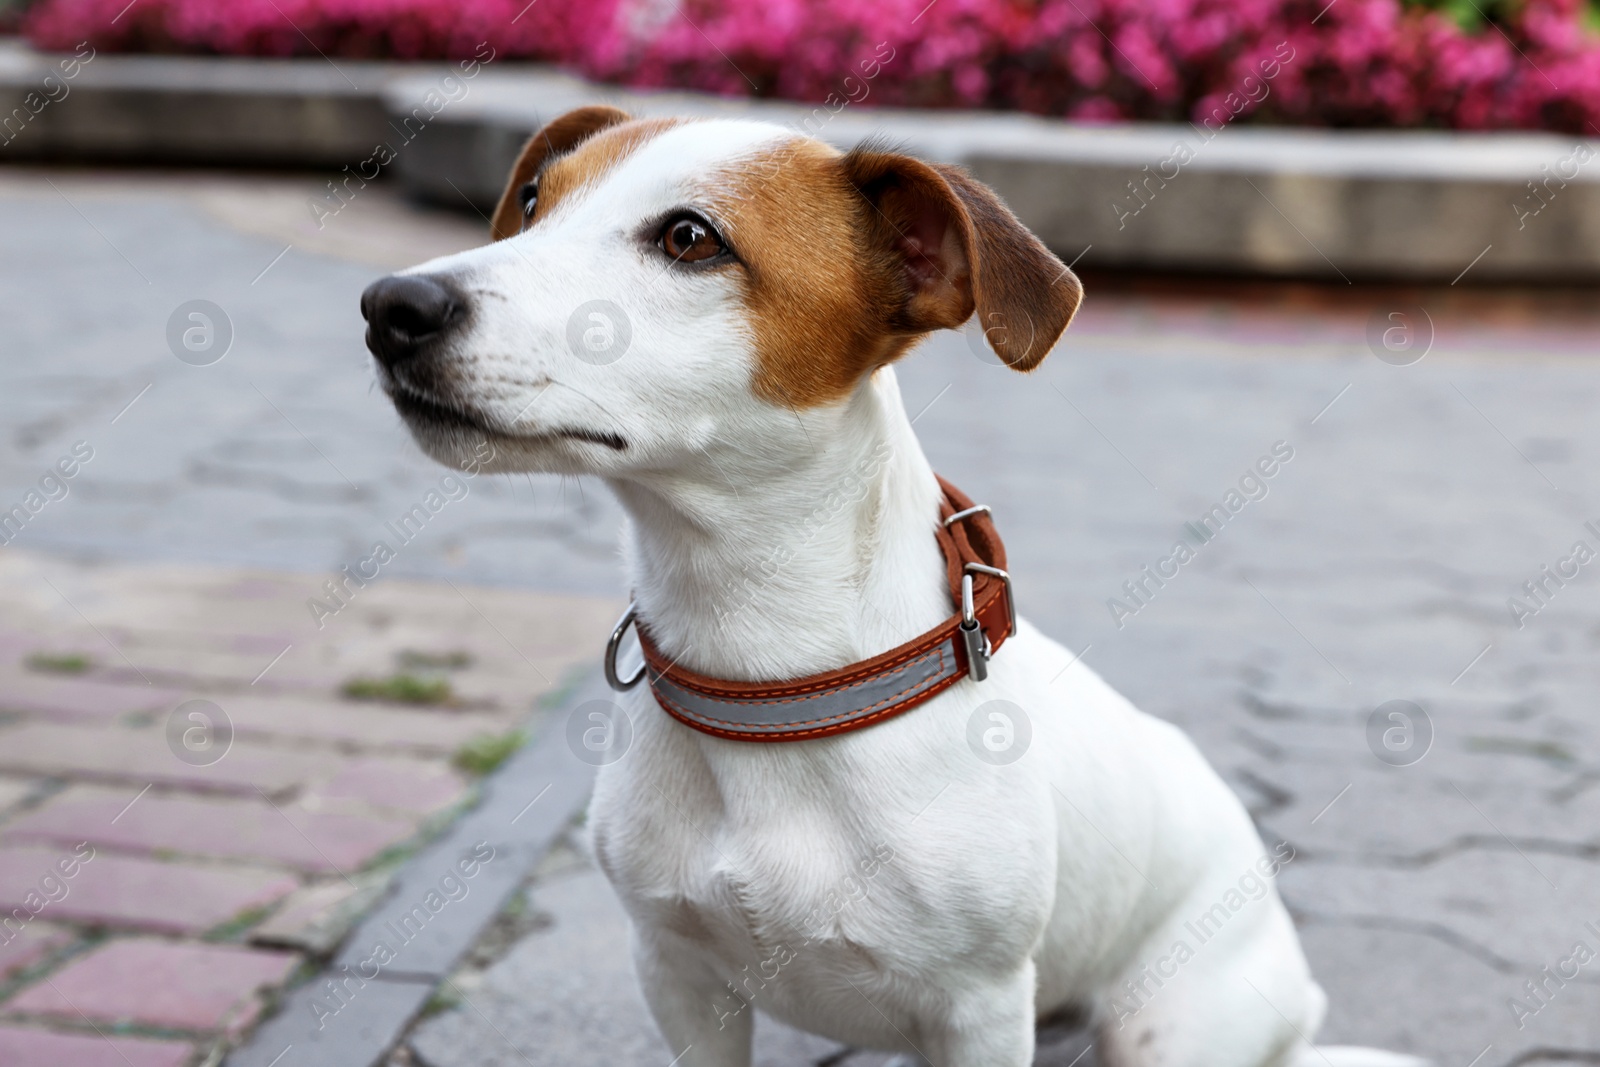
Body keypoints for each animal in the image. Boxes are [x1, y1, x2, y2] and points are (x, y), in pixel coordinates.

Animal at [366, 106, 1427, 1067]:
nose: (391, 304)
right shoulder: (677, 972)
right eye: (533, 202)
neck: (768, 680)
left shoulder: (980, 1011)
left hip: (1171, 1028)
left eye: (689, 238)